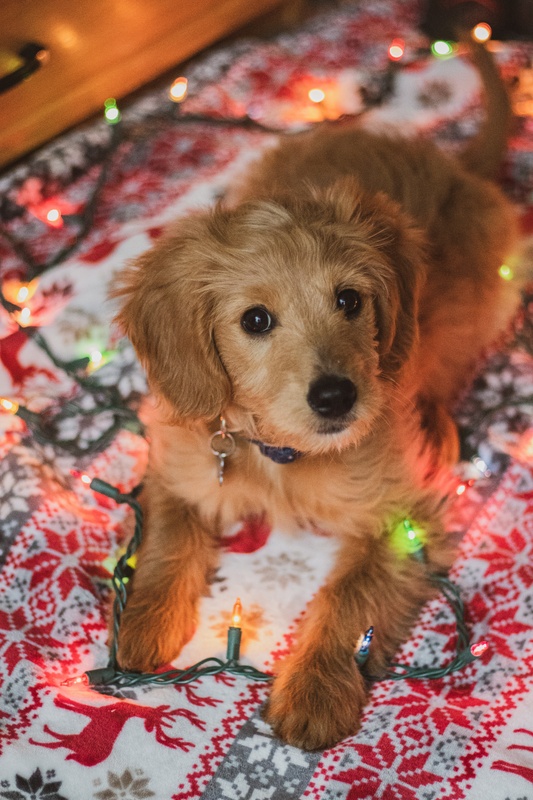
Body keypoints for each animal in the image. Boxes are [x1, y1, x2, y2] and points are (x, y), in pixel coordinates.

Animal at [112, 42, 516, 752]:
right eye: (255, 320)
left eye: (349, 300)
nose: (336, 397)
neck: (281, 454)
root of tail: (452, 161)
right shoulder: (178, 460)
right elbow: (167, 538)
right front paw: (143, 621)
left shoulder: (402, 517)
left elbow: (350, 597)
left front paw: (315, 687)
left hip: (486, 293)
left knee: (447, 356)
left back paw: (436, 420)